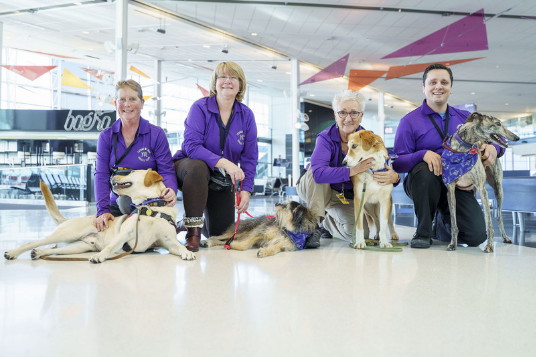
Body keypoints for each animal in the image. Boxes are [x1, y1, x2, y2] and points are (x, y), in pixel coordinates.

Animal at [3, 168, 196, 262]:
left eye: (132, 172)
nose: (112, 175)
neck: (149, 207)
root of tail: (69, 220)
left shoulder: (168, 243)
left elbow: (179, 247)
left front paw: (187, 252)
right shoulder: (123, 235)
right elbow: (110, 247)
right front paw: (99, 257)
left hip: (76, 246)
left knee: (54, 250)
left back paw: (39, 253)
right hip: (67, 233)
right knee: (33, 242)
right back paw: (13, 253)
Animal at [440, 110, 520, 250]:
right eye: (498, 123)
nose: (516, 137)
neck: (463, 148)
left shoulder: (482, 189)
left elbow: (488, 222)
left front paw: (489, 245)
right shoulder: (450, 191)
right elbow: (454, 222)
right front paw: (453, 243)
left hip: (498, 189)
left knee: (499, 217)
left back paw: (505, 237)